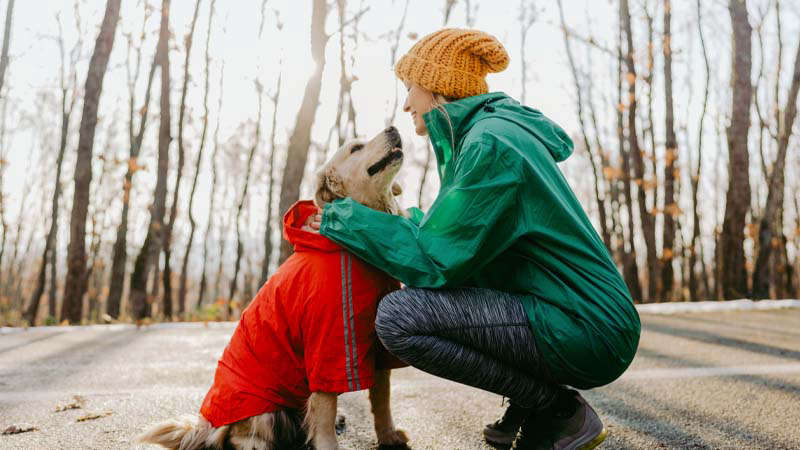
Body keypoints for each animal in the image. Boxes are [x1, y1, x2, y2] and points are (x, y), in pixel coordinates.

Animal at [138, 127, 410, 450]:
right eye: (356, 148)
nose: (393, 128)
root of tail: (209, 425)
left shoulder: (377, 345)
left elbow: (382, 400)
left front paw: (389, 435)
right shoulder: (327, 345)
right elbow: (325, 410)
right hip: (262, 412)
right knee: (243, 438)